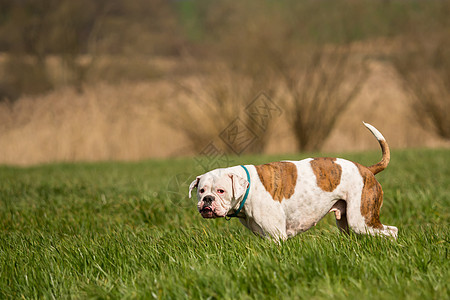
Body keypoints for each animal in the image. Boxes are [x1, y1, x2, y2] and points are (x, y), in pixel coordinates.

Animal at [188, 120, 400, 240]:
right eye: (201, 191)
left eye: (220, 191)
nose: (207, 200)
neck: (248, 188)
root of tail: (367, 169)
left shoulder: (276, 237)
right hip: (347, 223)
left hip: (362, 220)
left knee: (392, 231)